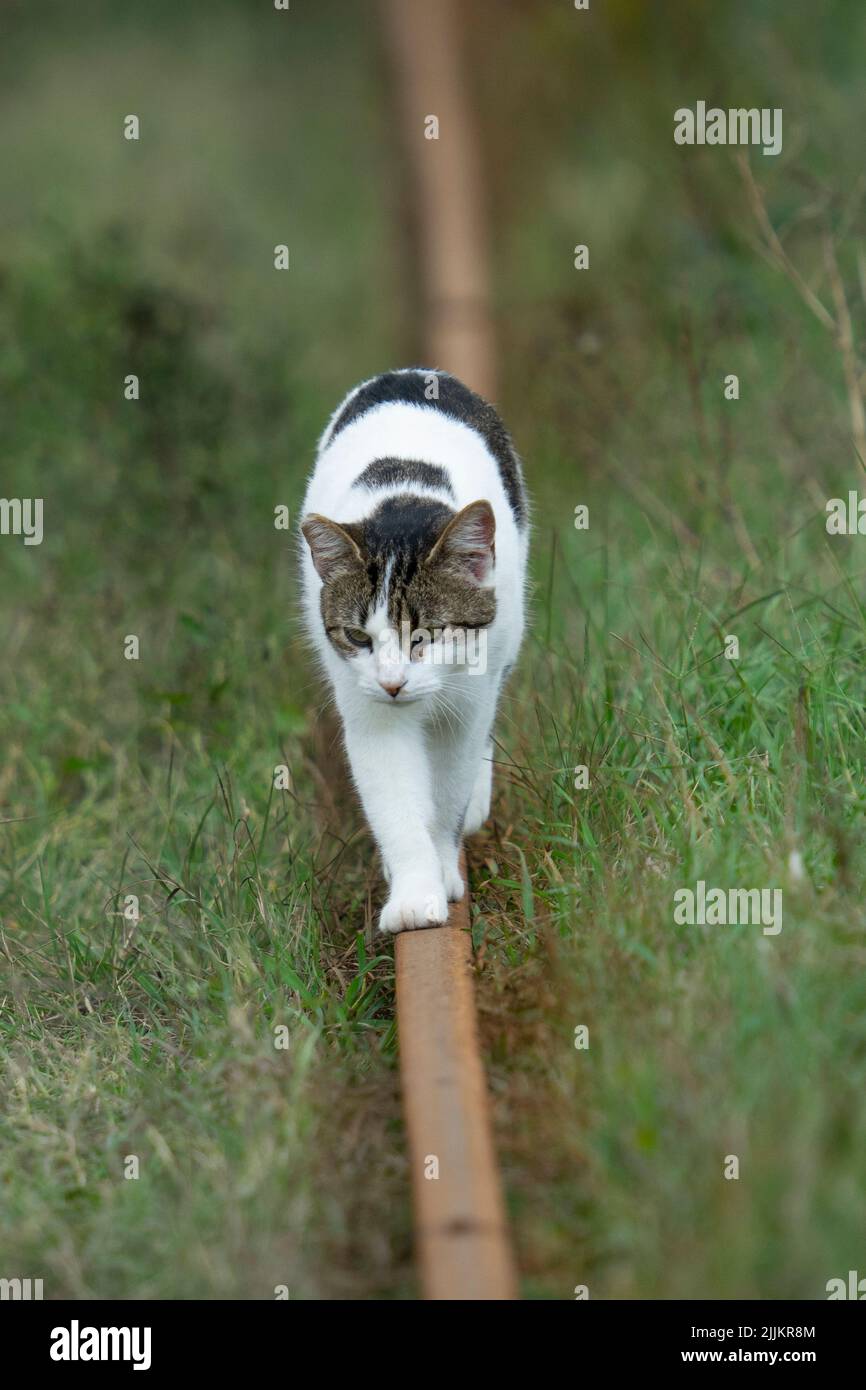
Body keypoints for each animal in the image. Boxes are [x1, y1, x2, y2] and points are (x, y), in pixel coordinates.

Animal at [297, 366, 528, 934]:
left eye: (427, 634)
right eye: (359, 637)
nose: (393, 683)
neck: (400, 506)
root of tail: (412, 372)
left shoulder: (468, 700)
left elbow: (448, 793)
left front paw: (443, 868)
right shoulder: (367, 707)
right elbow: (397, 804)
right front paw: (413, 894)